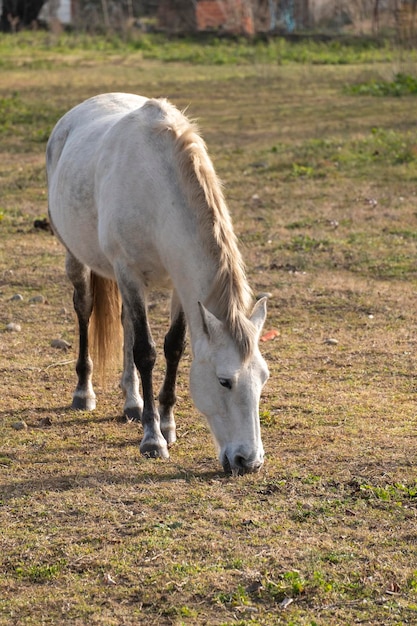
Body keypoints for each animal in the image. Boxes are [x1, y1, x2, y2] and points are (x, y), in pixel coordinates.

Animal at [45, 92, 266, 472]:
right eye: (225, 381)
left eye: (263, 378)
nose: (247, 461)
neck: (158, 190)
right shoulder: (129, 273)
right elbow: (145, 352)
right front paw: (153, 439)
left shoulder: (179, 285)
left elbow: (173, 346)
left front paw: (167, 424)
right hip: (77, 257)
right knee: (85, 309)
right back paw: (84, 393)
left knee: (126, 324)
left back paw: (132, 402)